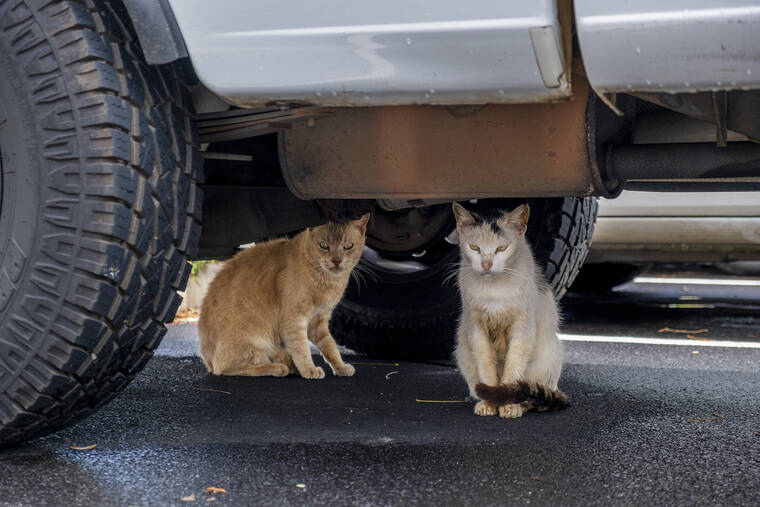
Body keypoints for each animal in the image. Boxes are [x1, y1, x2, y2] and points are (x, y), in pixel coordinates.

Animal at [200, 216, 370, 380]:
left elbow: (330, 346)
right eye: (323, 245)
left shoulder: (318, 321)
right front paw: (309, 369)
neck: (327, 282)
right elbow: (301, 347)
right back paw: (278, 368)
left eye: (348, 246)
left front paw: (340, 367)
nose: (336, 261)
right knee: (229, 368)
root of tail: (207, 362)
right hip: (253, 340)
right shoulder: (293, 319)